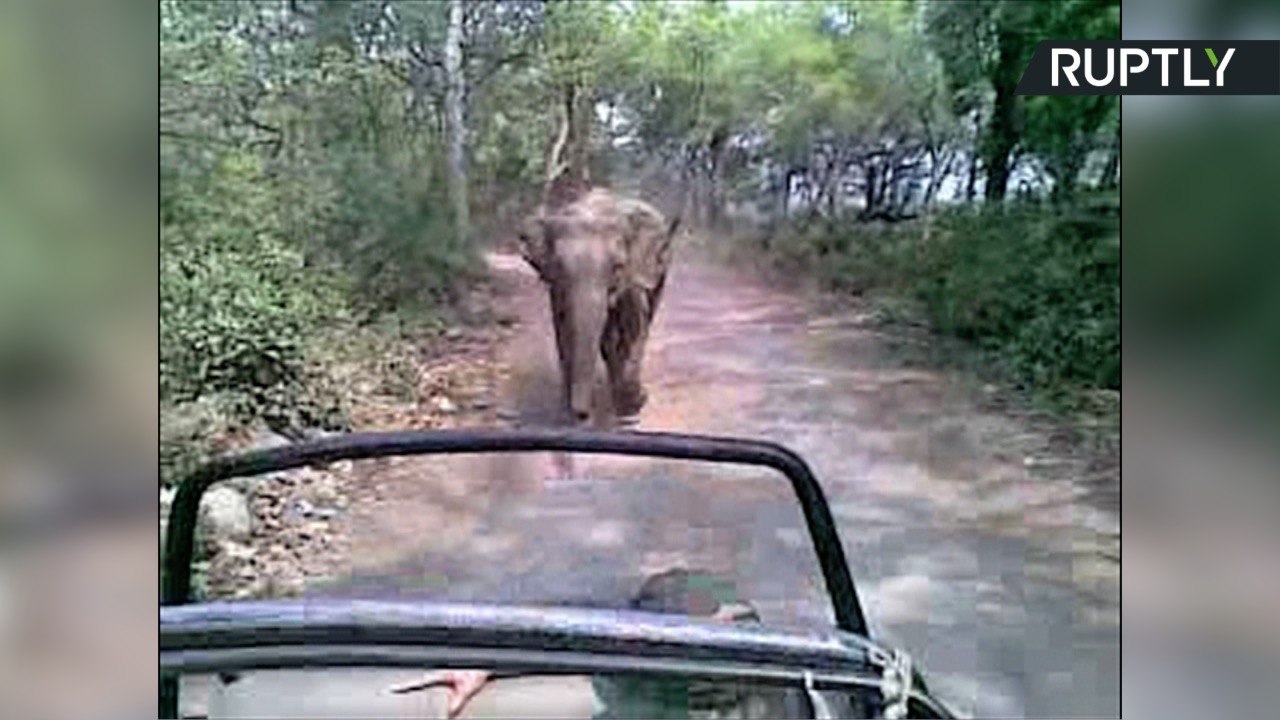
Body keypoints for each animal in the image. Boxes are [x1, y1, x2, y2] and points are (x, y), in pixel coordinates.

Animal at [518, 188, 679, 428]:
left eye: (617, 266)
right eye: (558, 266)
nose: (583, 415)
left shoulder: (634, 275)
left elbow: (634, 326)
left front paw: (632, 406)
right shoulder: (556, 288)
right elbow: (564, 328)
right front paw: (567, 411)